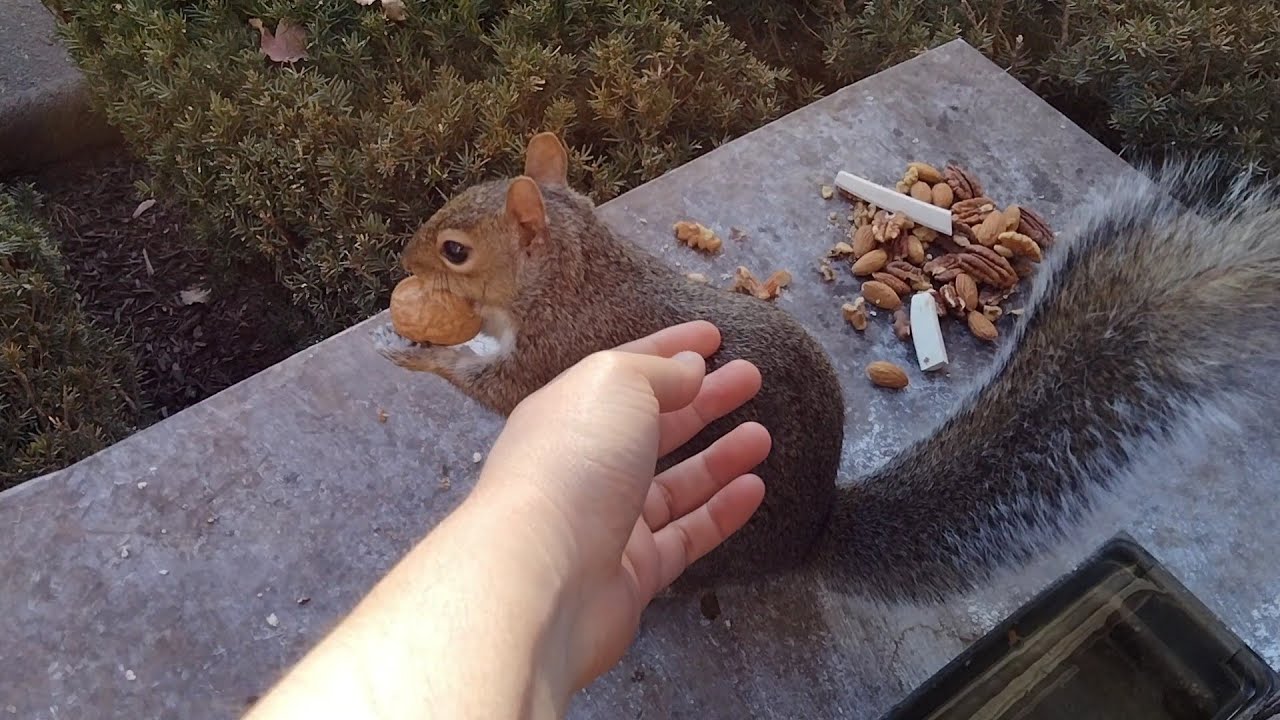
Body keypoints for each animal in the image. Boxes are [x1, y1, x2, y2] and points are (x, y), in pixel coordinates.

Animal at [374, 132, 1280, 603]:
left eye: (454, 252)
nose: (402, 261)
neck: (571, 274)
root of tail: (813, 529)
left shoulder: (555, 355)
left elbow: (490, 388)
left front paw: (415, 353)